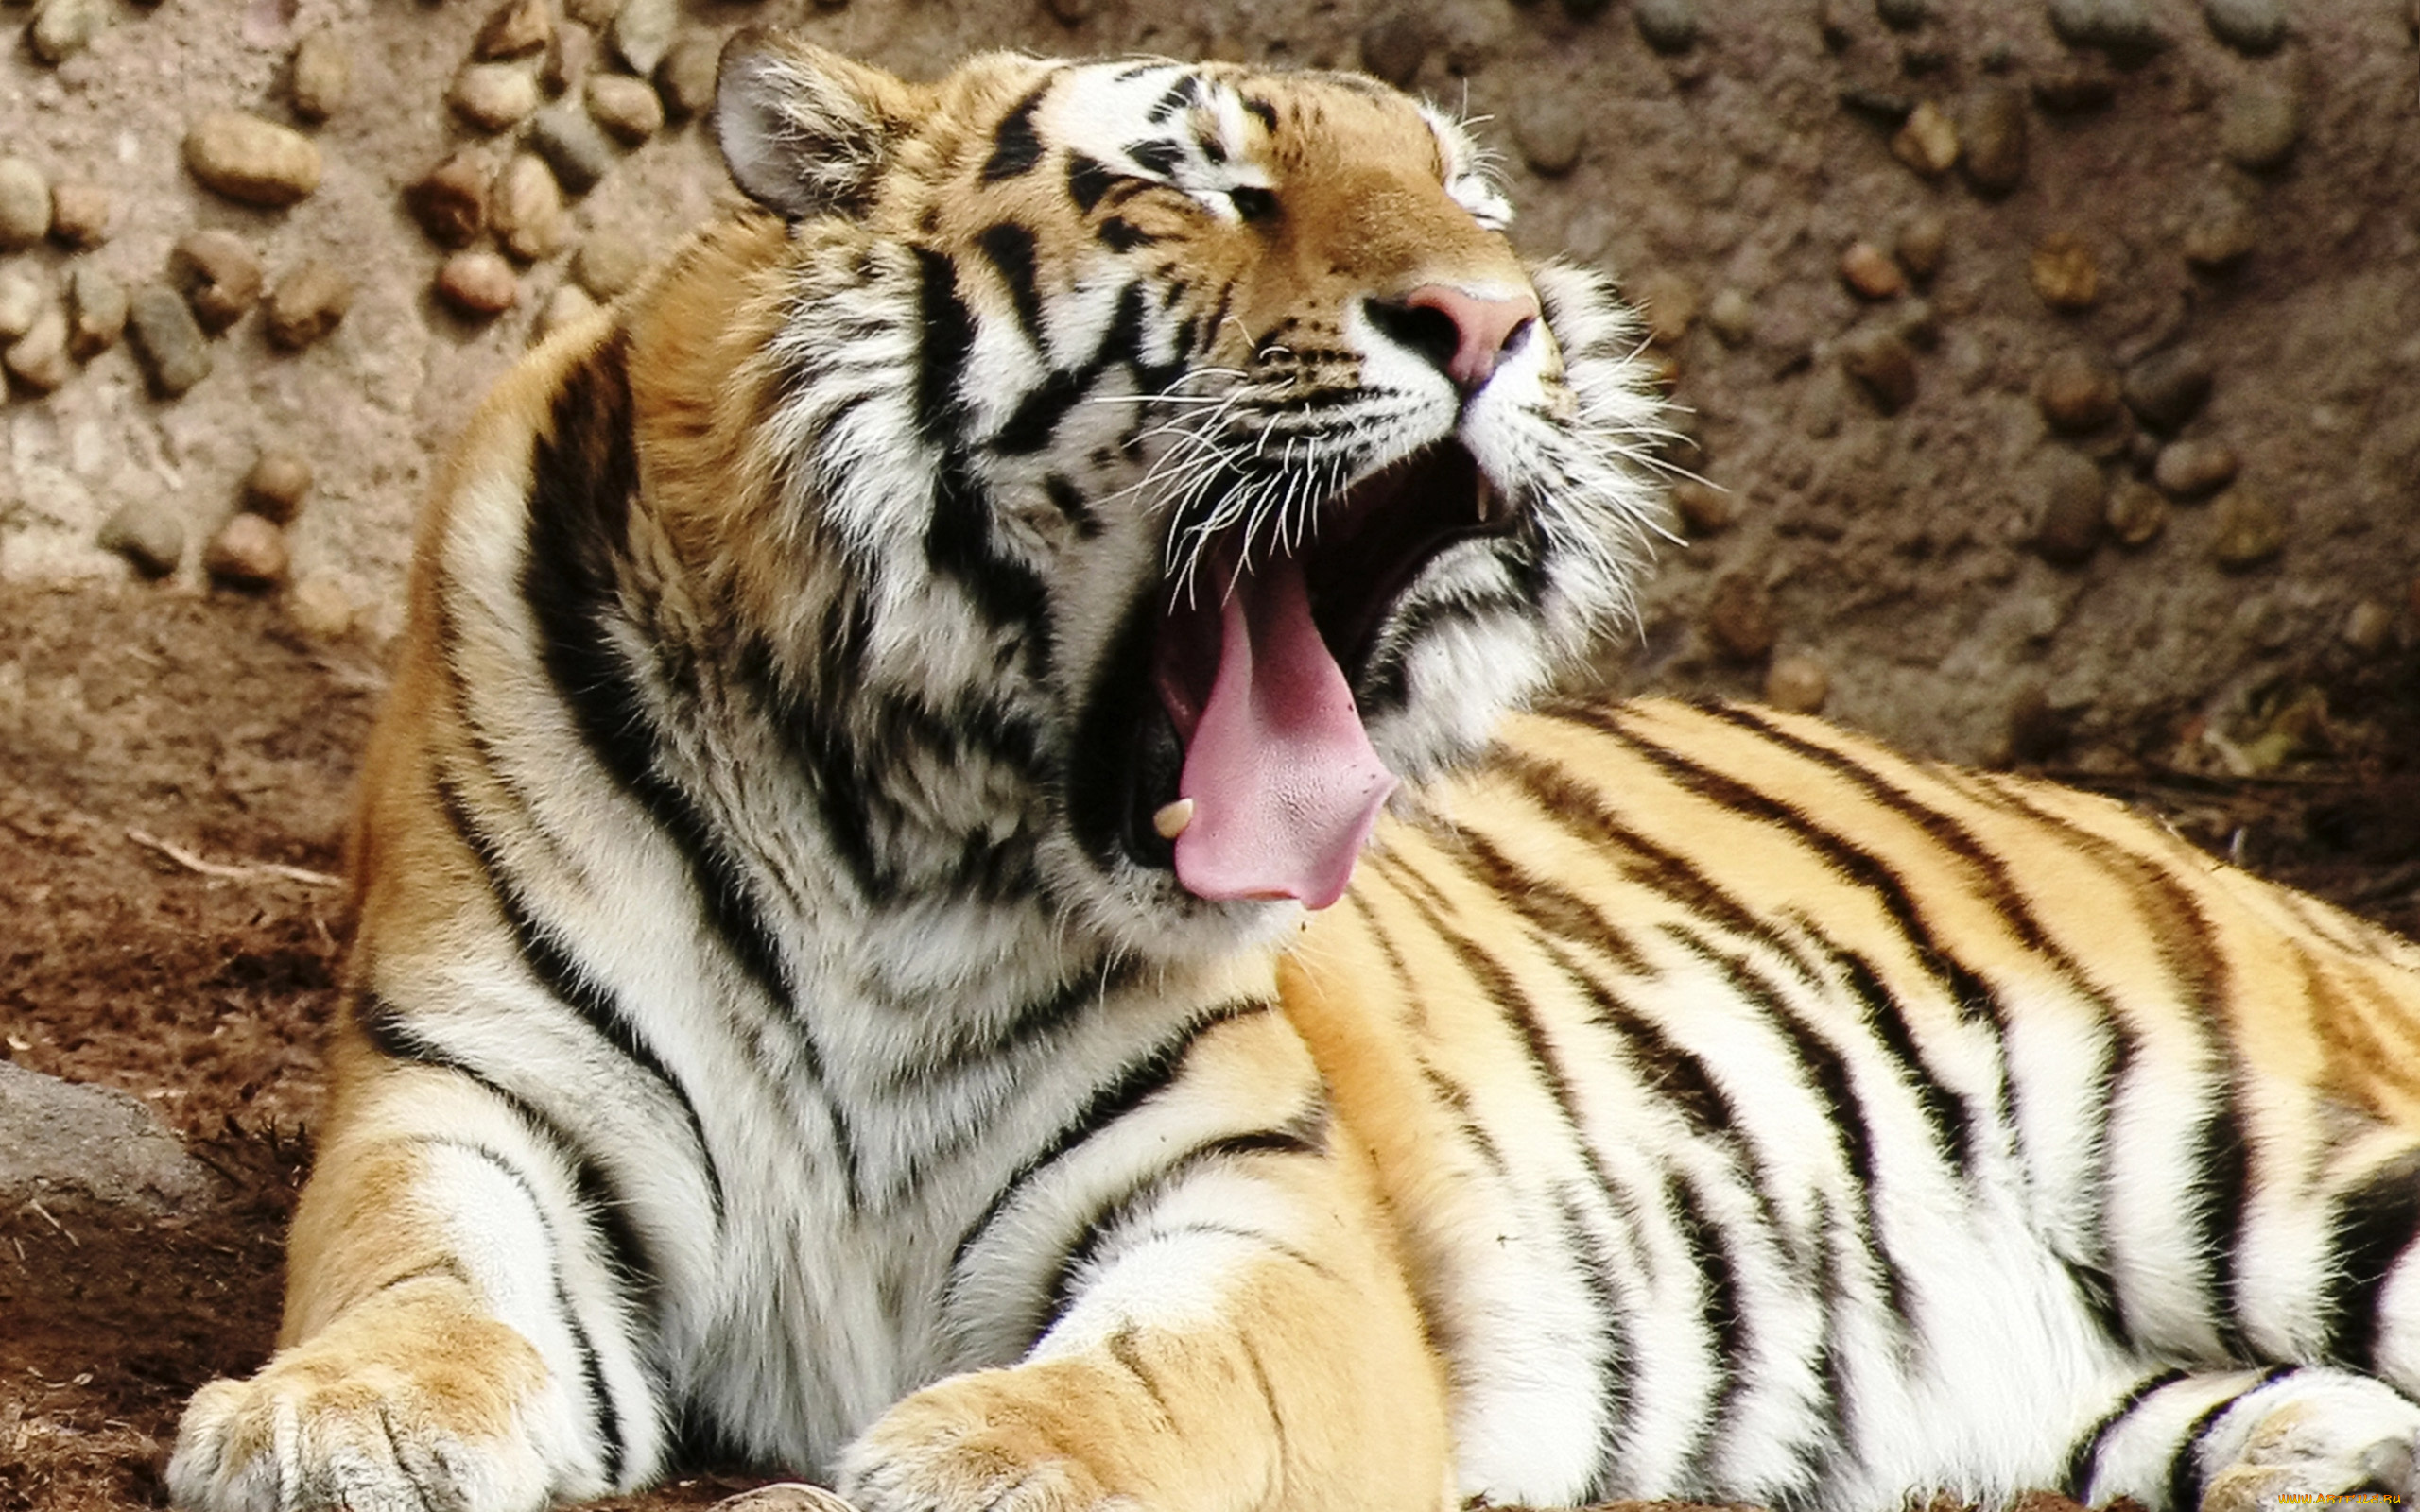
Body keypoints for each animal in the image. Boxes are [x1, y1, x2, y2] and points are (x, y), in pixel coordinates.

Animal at [164, 29, 2420, 1512]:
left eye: (1475, 201)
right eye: (1202, 187)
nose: (1501, 320)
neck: (899, 822)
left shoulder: (1254, 1210)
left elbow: (1162, 1388)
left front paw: (977, 1454)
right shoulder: (476, 1101)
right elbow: (422, 1281)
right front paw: (332, 1419)